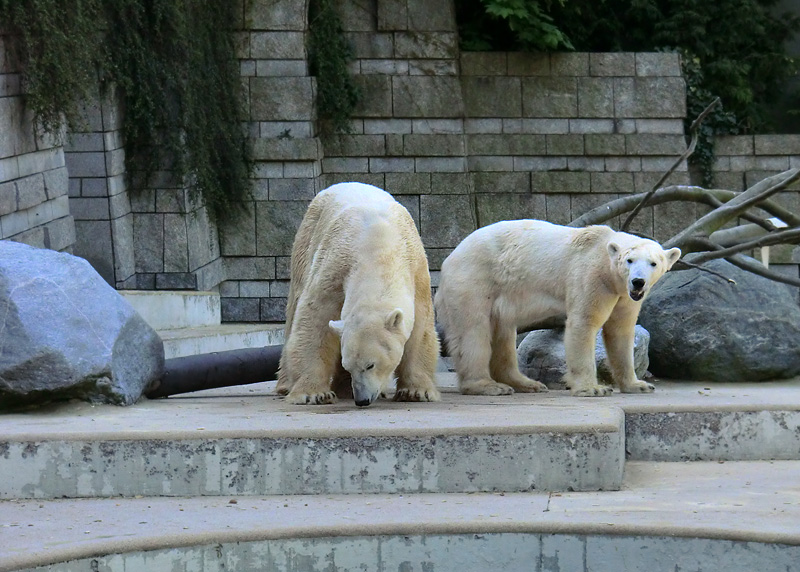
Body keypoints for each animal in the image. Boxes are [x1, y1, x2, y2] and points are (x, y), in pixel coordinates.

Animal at [274, 183, 438, 406]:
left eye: (370, 365)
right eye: (349, 365)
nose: (362, 399)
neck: (379, 247)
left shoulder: (417, 271)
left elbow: (421, 327)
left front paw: (416, 392)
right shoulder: (335, 267)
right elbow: (316, 316)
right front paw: (314, 394)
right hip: (306, 238)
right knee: (294, 306)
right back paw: (286, 385)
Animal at [434, 219, 680, 398]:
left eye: (653, 263)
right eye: (629, 260)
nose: (638, 282)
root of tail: (450, 258)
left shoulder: (624, 295)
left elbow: (620, 331)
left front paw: (638, 385)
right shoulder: (591, 277)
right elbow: (584, 323)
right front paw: (594, 388)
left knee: (503, 331)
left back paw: (526, 383)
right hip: (475, 280)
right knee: (473, 330)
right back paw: (488, 386)